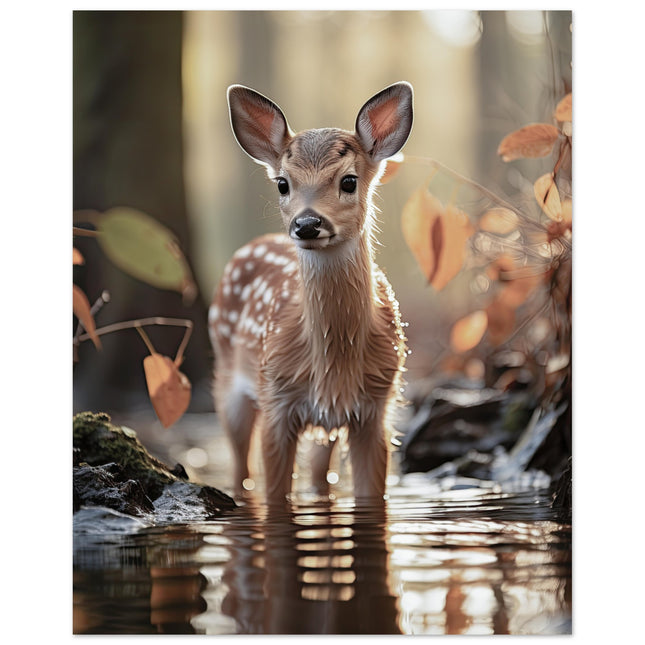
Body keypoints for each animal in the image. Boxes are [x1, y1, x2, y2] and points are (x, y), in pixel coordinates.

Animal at [209, 82, 413, 504]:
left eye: (349, 181)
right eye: (283, 183)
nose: (307, 224)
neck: (334, 362)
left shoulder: (377, 406)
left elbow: (372, 494)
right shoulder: (276, 396)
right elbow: (275, 494)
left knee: (321, 475)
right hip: (228, 379)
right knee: (241, 469)